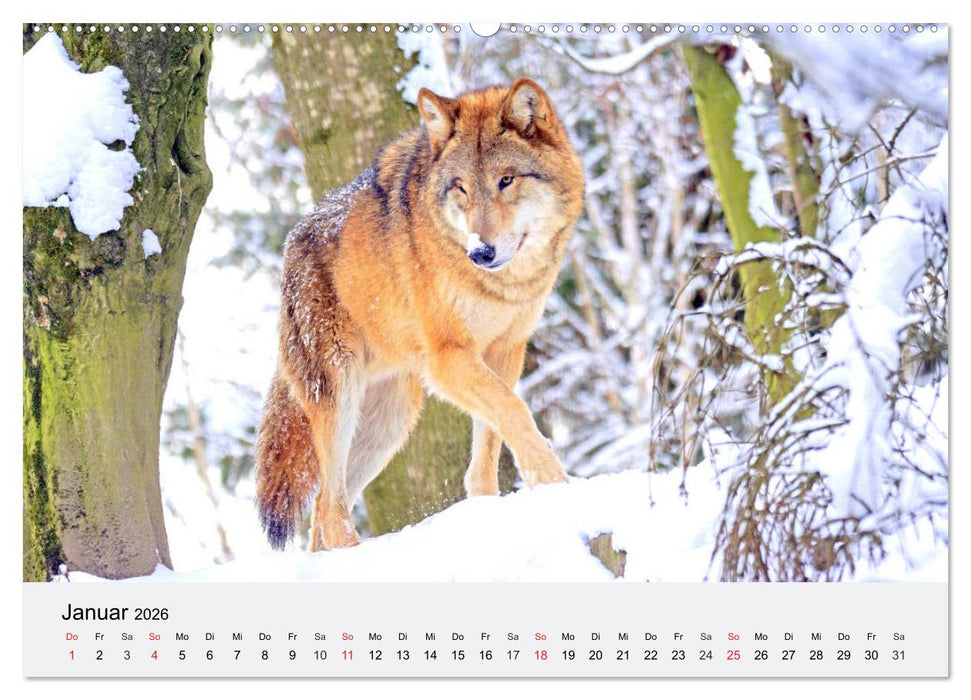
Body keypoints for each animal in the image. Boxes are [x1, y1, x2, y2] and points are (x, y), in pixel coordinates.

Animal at [255, 78, 585, 551]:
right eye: (461, 187)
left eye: (506, 180)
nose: (481, 252)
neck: (501, 286)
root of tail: (291, 245)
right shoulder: (448, 357)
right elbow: (515, 411)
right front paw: (555, 483)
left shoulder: (506, 351)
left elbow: (492, 438)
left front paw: (489, 508)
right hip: (341, 397)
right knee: (329, 507)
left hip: (390, 422)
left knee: (321, 509)